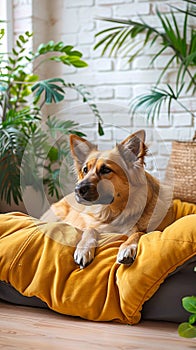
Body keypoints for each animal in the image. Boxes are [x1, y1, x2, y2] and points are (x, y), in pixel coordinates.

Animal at [41, 130, 173, 270]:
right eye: (85, 170)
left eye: (105, 169)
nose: (77, 189)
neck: (112, 212)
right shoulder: (93, 225)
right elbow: (89, 230)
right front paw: (83, 249)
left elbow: (139, 233)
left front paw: (127, 247)